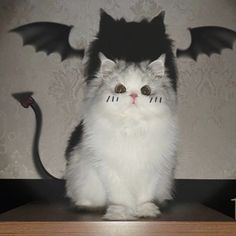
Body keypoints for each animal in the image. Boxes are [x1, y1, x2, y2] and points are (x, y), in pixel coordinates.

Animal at [64, 10, 177, 220]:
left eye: (145, 90)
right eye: (120, 89)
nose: (133, 95)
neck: (131, 127)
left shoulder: (152, 169)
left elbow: (144, 196)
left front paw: (145, 211)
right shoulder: (109, 170)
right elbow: (120, 197)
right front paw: (120, 213)